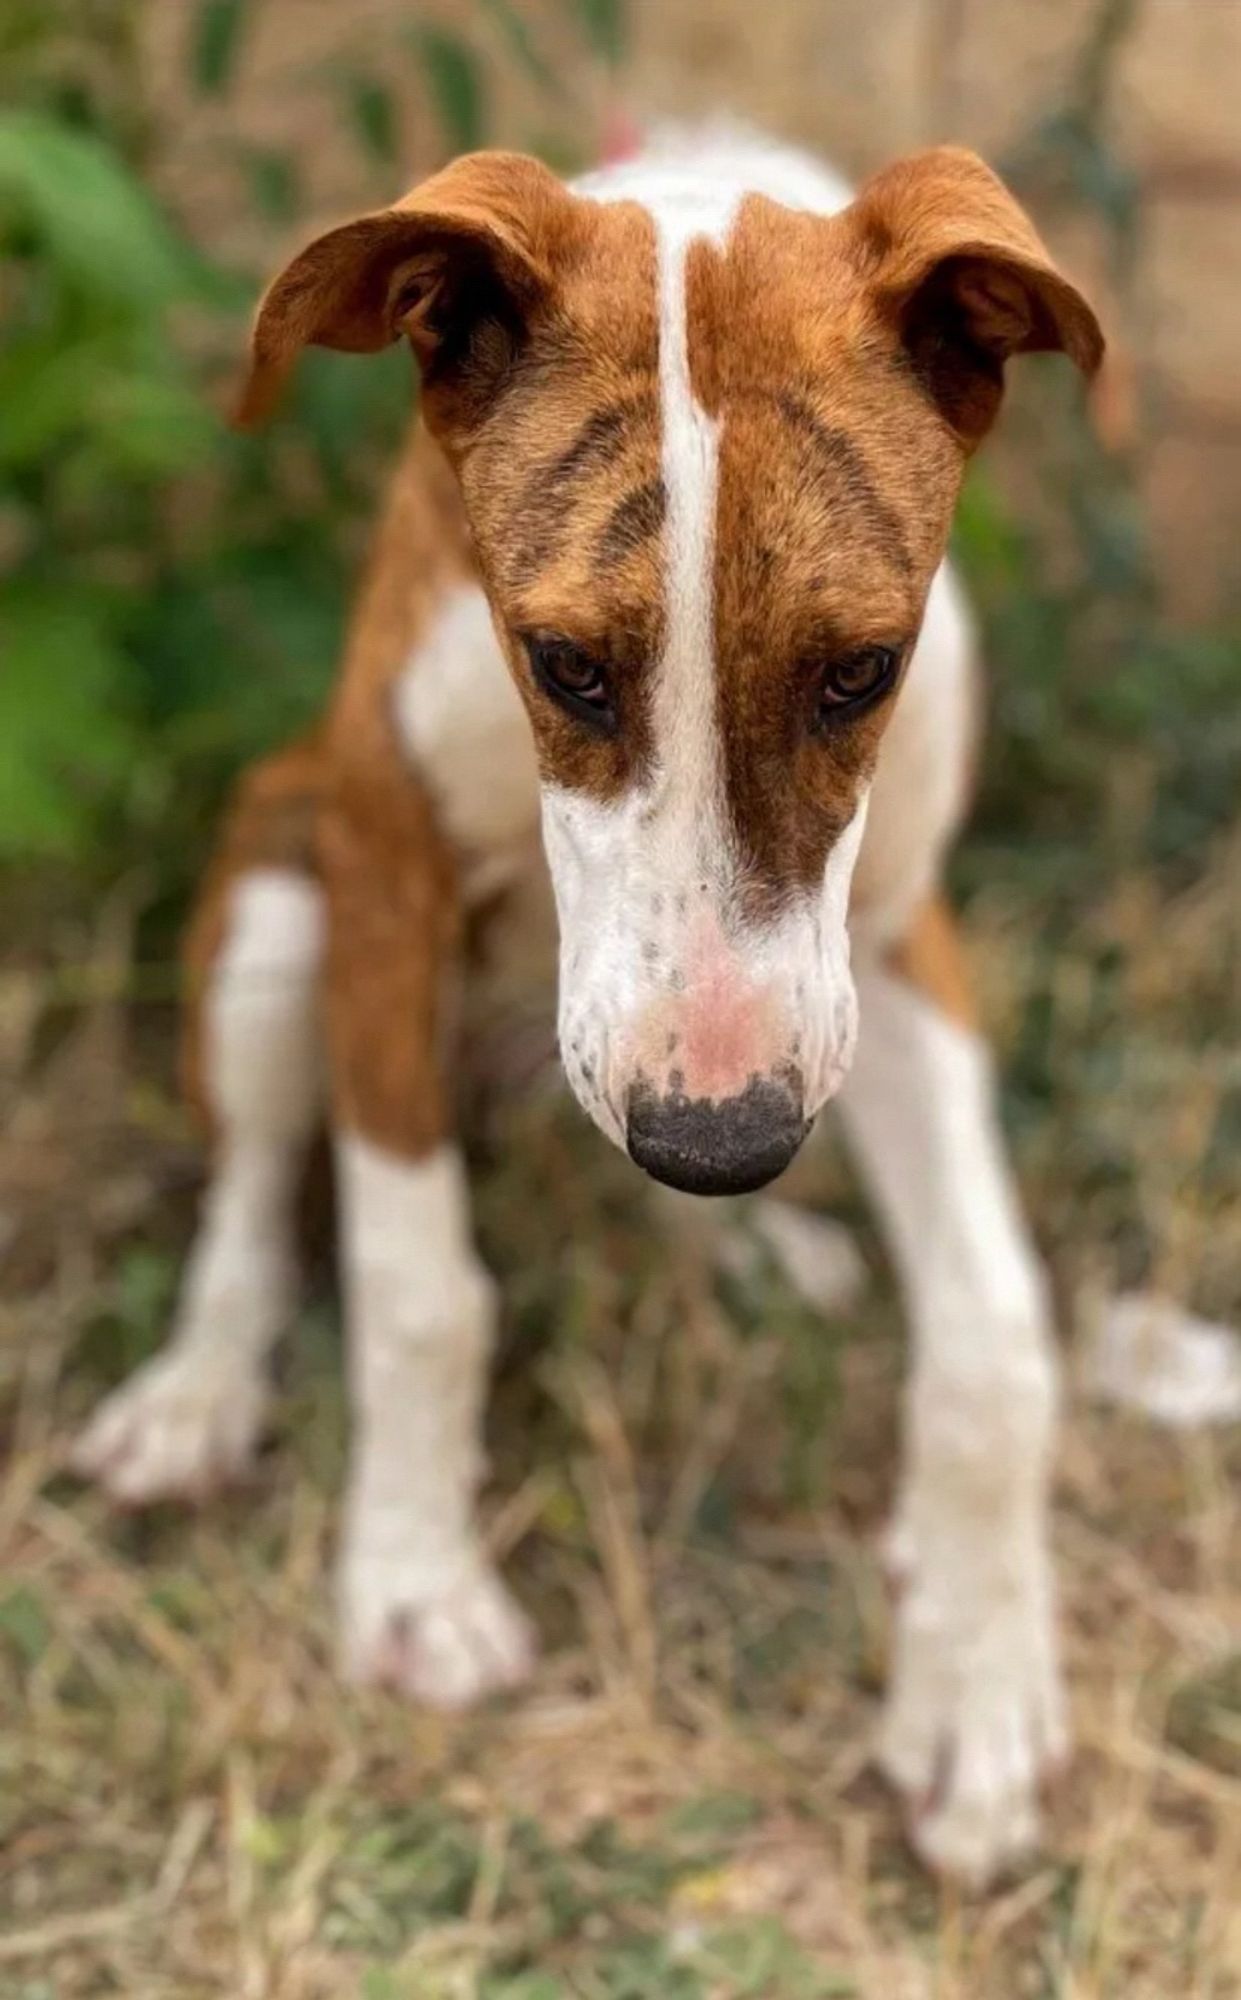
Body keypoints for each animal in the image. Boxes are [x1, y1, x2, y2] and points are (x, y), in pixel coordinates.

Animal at [72, 129, 1104, 1888]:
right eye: (562, 664)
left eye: (861, 669)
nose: (724, 1144)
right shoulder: (386, 873)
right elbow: (417, 1288)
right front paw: (415, 1582)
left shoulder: (899, 940)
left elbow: (994, 1338)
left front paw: (977, 1690)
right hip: (279, 899)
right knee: (258, 1191)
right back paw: (196, 1398)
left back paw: (756, 1255)